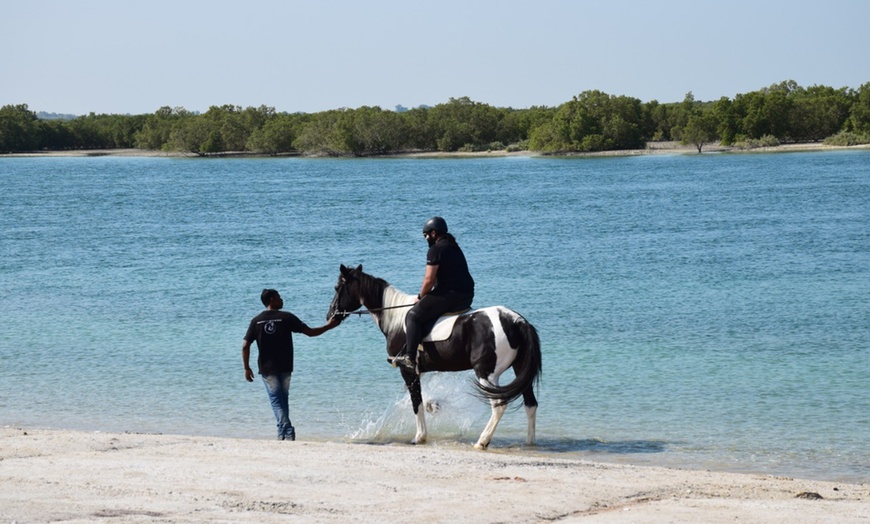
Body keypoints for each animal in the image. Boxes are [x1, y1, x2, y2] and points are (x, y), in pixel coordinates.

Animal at [328, 264, 540, 448]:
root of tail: (517, 321)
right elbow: (414, 399)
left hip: (486, 373)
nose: (330, 315)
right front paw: (433, 407)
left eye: (338, 287)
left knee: (498, 405)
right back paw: (529, 443)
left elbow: (416, 402)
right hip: (519, 370)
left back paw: (482, 441)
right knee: (530, 404)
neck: (395, 320)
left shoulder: (407, 369)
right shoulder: (418, 371)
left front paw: (419, 437)